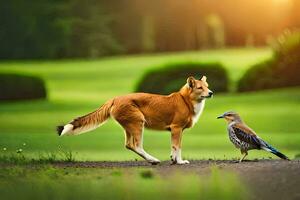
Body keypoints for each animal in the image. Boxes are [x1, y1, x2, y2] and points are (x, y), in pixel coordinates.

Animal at [55, 75, 211, 164]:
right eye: (199, 88)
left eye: (207, 87)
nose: (211, 93)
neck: (186, 101)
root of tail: (115, 98)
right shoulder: (176, 128)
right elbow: (176, 147)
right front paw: (179, 162)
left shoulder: (178, 131)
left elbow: (176, 148)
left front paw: (174, 160)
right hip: (138, 123)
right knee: (136, 145)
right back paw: (153, 160)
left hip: (129, 127)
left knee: (128, 145)